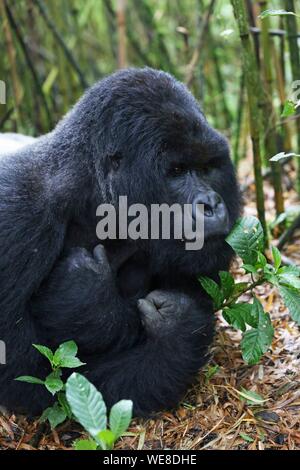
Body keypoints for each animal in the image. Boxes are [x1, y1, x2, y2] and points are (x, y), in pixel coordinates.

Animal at [0, 67, 239, 414]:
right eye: (177, 170)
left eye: (207, 167)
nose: (211, 203)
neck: (91, 197)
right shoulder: (16, 220)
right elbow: (39, 383)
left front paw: (175, 326)